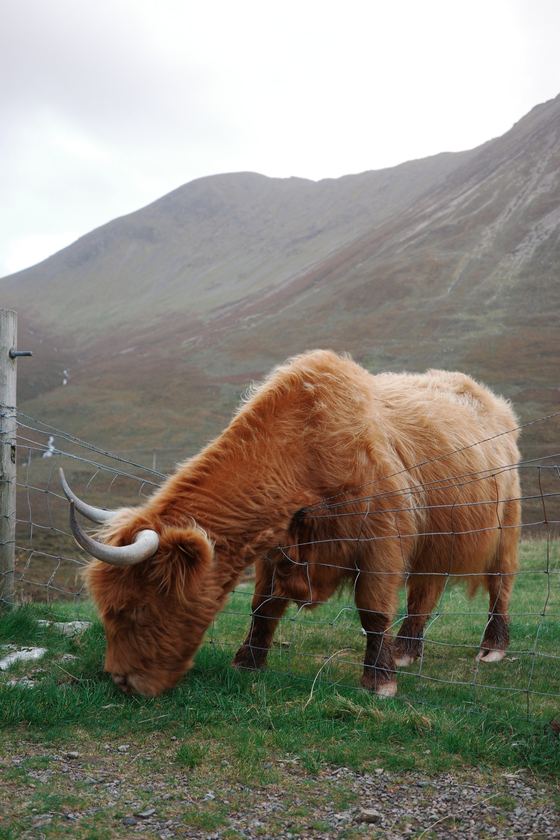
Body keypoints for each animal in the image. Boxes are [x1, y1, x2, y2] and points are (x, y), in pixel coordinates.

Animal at [61, 350, 521, 698]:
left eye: (135, 608)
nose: (121, 680)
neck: (302, 455)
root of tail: (493, 402)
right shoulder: (275, 548)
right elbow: (263, 607)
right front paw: (248, 662)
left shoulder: (382, 542)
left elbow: (372, 610)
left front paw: (379, 681)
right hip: (438, 537)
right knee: (427, 588)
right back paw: (407, 649)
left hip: (506, 525)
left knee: (500, 583)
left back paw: (491, 648)